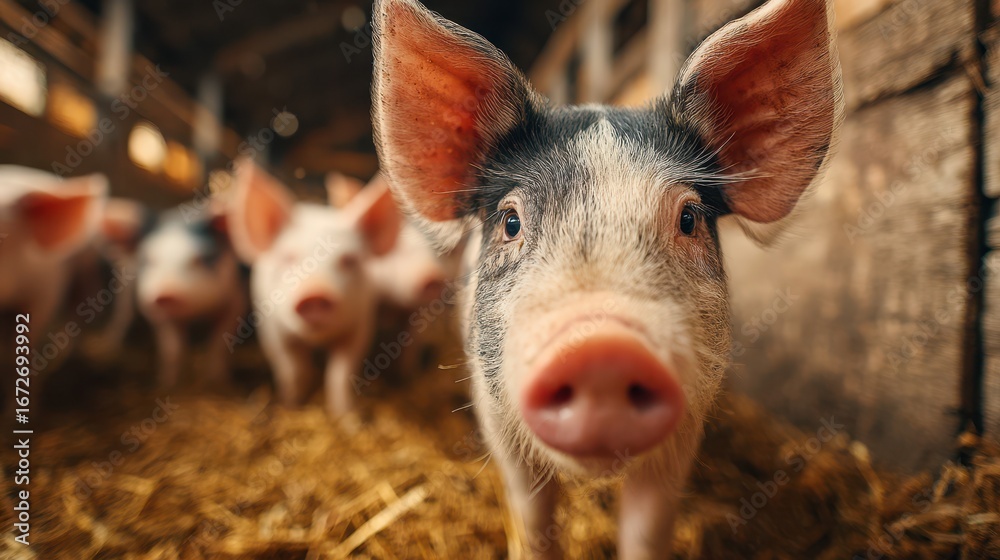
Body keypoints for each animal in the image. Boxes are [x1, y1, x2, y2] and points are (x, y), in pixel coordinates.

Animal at [136, 206, 247, 388]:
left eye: (201, 258)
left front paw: (219, 383)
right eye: (149, 260)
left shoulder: (236, 303)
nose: (166, 295)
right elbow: (172, 349)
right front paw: (167, 384)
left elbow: (219, 342)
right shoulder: (159, 316)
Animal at [227, 159, 400, 416]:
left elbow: (341, 373)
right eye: (287, 258)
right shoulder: (272, 329)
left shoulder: (361, 324)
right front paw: (290, 406)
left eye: (350, 260)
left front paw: (347, 418)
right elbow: (293, 369)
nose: (315, 293)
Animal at [371, 0, 841, 557]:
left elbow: (647, 526)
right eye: (511, 222)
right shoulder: (497, 417)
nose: (601, 351)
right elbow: (533, 515)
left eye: (689, 218)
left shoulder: (686, 426)